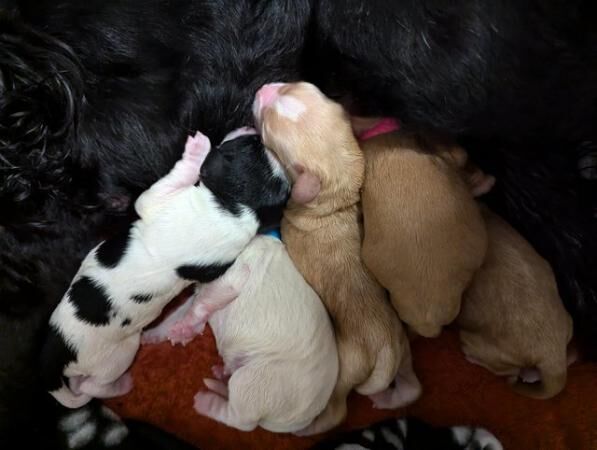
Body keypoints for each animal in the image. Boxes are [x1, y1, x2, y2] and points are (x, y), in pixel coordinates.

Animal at [39, 126, 288, 408]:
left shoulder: (156, 200)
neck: (237, 208)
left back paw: (121, 385)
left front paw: (196, 152)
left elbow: (159, 189)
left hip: (120, 354)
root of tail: (57, 358)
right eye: (255, 142)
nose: (252, 126)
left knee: (91, 386)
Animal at [144, 236, 338, 432]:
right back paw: (221, 374)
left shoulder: (232, 278)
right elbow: (177, 314)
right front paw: (153, 334)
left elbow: (199, 307)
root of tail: (301, 421)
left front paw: (182, 330)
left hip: (254, 381)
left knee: (241, 420)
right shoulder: (202, 293)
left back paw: (204, 402)